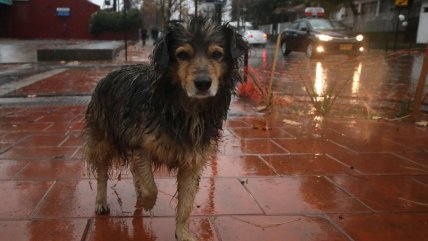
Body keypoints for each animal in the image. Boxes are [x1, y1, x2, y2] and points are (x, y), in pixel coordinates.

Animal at [83, 17, 247, 241]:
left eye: (217, 54)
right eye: (182, 55)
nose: (203, 83)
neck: (185, 109)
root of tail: (108, 74)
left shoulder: (192, 161)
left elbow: (186, 204)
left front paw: (183, 233)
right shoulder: (140, 145)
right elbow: (152, 188)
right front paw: (147, 202)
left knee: (133, 171)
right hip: (102, 140)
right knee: (102, 173)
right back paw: (101, 201)